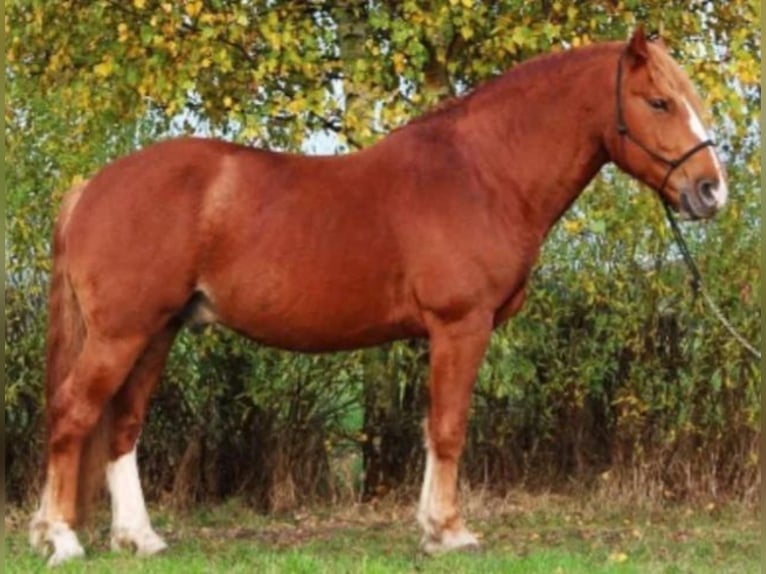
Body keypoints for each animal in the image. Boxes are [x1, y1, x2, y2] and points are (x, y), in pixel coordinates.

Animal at [30, 27, 727, 565]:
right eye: (659, 101)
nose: (710, 191)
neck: (482, 174)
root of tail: (90, 188)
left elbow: (431, 425)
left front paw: (430, 528)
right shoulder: (460, 325)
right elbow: (448, 427)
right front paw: (450, 533)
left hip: (157, 331)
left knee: (123, 424)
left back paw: (139, 538)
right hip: (122, 333)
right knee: (73, 412)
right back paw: (61, 539)